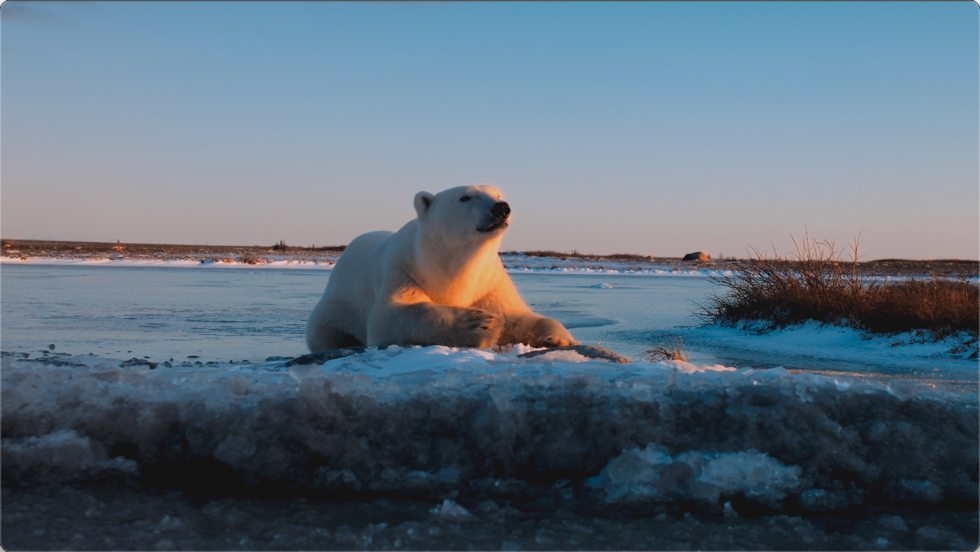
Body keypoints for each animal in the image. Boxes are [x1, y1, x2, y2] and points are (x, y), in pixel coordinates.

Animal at [306, 185, 577, 352]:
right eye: (465, 197)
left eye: (498, 194)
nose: (501, 208)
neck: (446, 265)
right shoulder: (404, 269)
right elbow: (389, 316)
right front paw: (480, 324)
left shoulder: (488, 283)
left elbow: (518, 316)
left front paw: (557, 338)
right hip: (336, 304)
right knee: (323, 333)